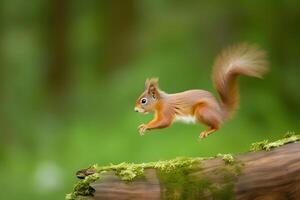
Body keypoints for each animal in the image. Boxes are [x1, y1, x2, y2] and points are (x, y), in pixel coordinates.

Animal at [135, 43, 268, 138]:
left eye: (143, 101)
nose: (135, 110)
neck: (161, 102)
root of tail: (220, 113)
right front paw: (143, 126)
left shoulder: (167, 111)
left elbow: (164, 122)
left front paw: (146, 126)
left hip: (203, 111)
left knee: (218, 125)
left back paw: (206, 132)